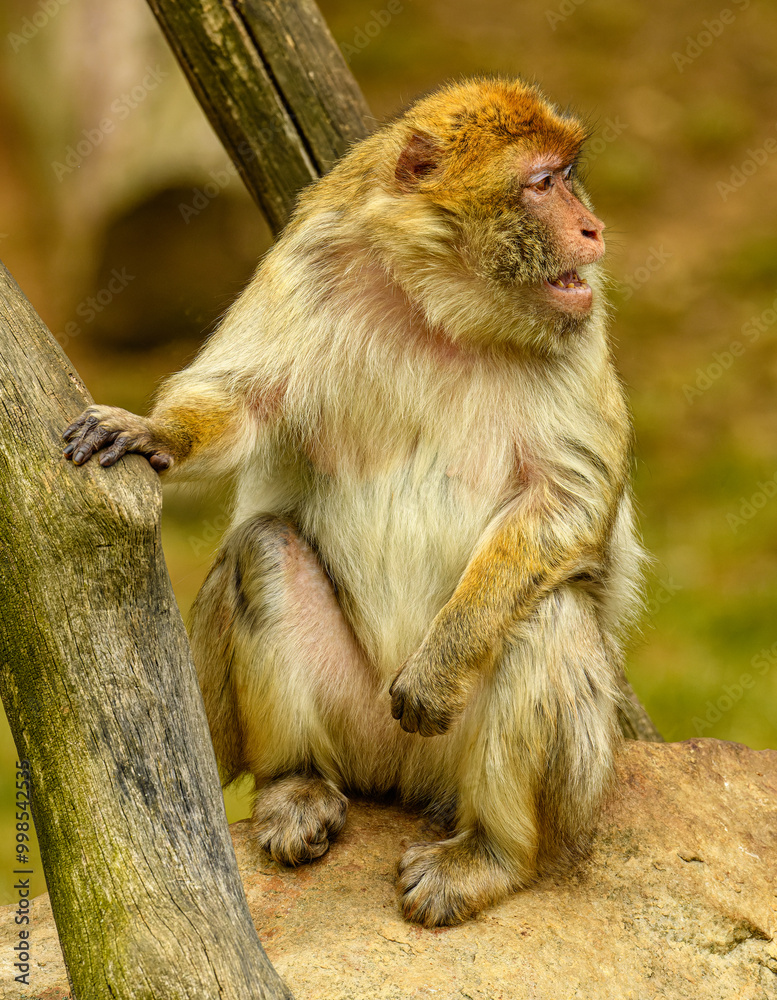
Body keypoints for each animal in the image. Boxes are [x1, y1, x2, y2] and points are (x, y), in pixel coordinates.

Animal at [63, 77, 644, 928]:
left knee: (542, 613)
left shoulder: (578, 317)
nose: (591, 228)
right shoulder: (311, 258)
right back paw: (294, 783)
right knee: (263, 550)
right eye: (543, 182)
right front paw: (153, 432)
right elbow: (240, 401)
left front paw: (441, 663)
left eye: (568, 175)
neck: (441, 302)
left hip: (552, 782)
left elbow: (566, 498)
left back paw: (491, 855)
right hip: (352, 719)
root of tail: (398, 776)